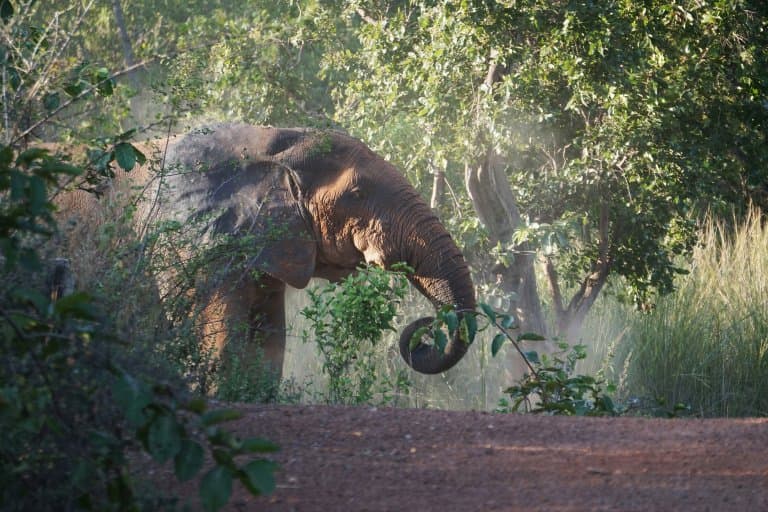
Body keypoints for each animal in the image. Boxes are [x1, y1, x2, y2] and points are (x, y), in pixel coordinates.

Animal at [53, 123, 477, 379]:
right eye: (357, 195)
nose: (422, 334)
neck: (271, 144)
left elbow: (267, 349)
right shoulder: (192, 248)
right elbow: (220, 349)